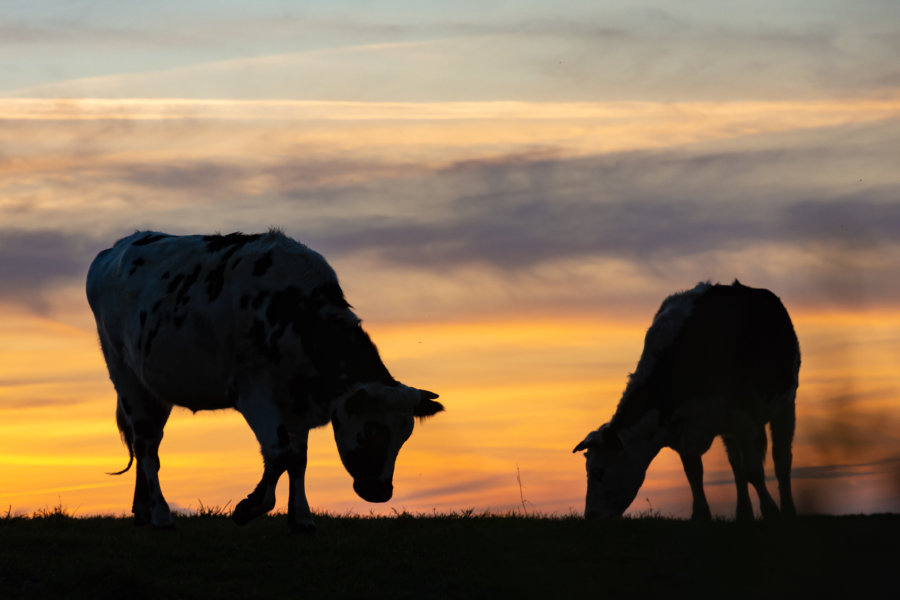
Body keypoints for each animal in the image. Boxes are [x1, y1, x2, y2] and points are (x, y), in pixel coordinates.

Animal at [86, 229, 444, 528]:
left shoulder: (297, 403)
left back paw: (143, 510)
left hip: (155, 389)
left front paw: (301, 518)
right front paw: (250, 507)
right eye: (372, 429)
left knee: (146, 441)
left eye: (405, 435)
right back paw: (160, 514)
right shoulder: (255, 395)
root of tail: (116, 247)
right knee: (146, 443)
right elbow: (279, 453)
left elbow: (298, 460)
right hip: (125, 374)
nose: (381, 492)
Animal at [572, 282, 800, 520]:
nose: (591, 515)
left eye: (598, 472)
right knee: (736, 464)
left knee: (781, 458)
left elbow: (754, 471)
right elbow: (694, 474)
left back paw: (788, 510)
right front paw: (701, 515)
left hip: (786, 404)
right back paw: (743, 514)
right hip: (729, 428)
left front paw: (771, 512)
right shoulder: (682, 428)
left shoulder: (742, 416)